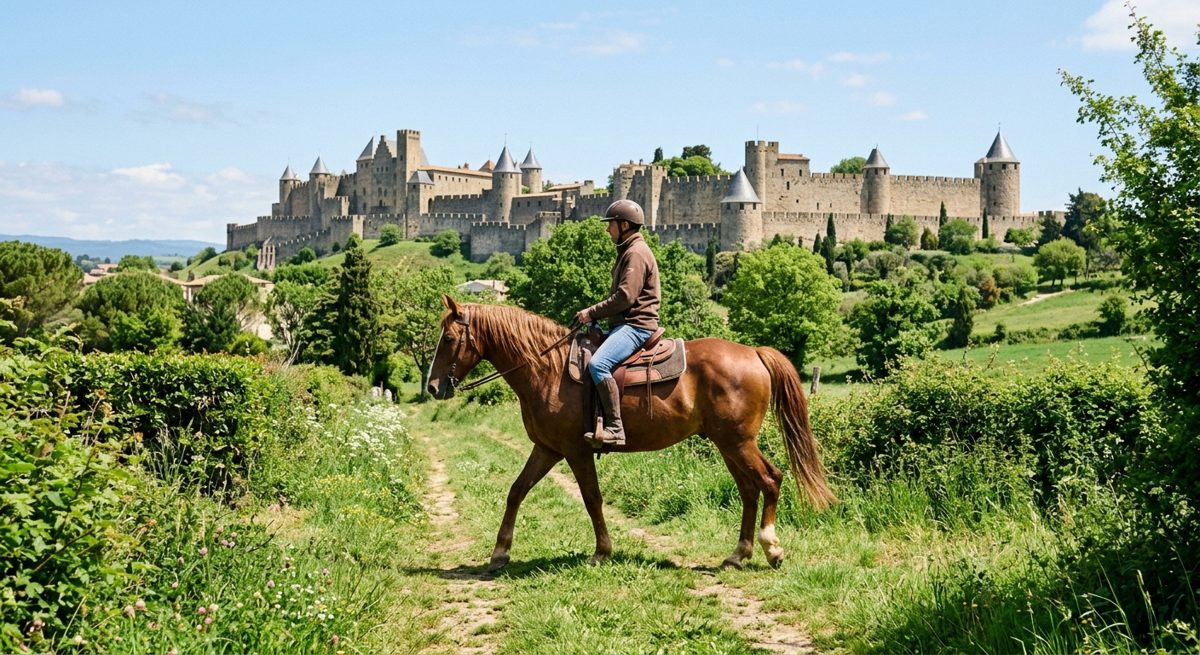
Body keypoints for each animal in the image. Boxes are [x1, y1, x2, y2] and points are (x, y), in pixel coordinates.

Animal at [427, 295, 835, 571]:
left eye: (448, 339)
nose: (432, 387)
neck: (548, 369)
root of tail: (753, 352)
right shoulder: (547, 449)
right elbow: (516, 491)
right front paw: (500, 553)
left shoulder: (575, 451)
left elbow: (591, 498)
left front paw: (601, 551)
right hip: (728, 444)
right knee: (749, 490)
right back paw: (738, 554)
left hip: (738, 442)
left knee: (770, 480)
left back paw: (772, 548)